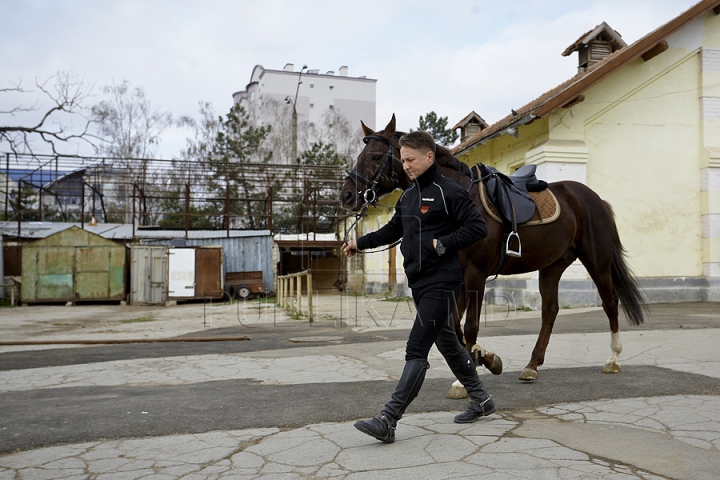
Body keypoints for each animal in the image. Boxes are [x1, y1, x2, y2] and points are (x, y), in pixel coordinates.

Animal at [338, 115, 648, 386]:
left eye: (376, 156)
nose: (347, 196)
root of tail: (595, 199)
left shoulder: (475, 275)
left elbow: (469, 327)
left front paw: (468, 376)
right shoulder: (459, 278)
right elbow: (455, 326)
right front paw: (482, 360)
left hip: (597, 261)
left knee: (609, 302)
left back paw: (613, 358)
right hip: (552, 266)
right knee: (550, 310)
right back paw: (532, 366)